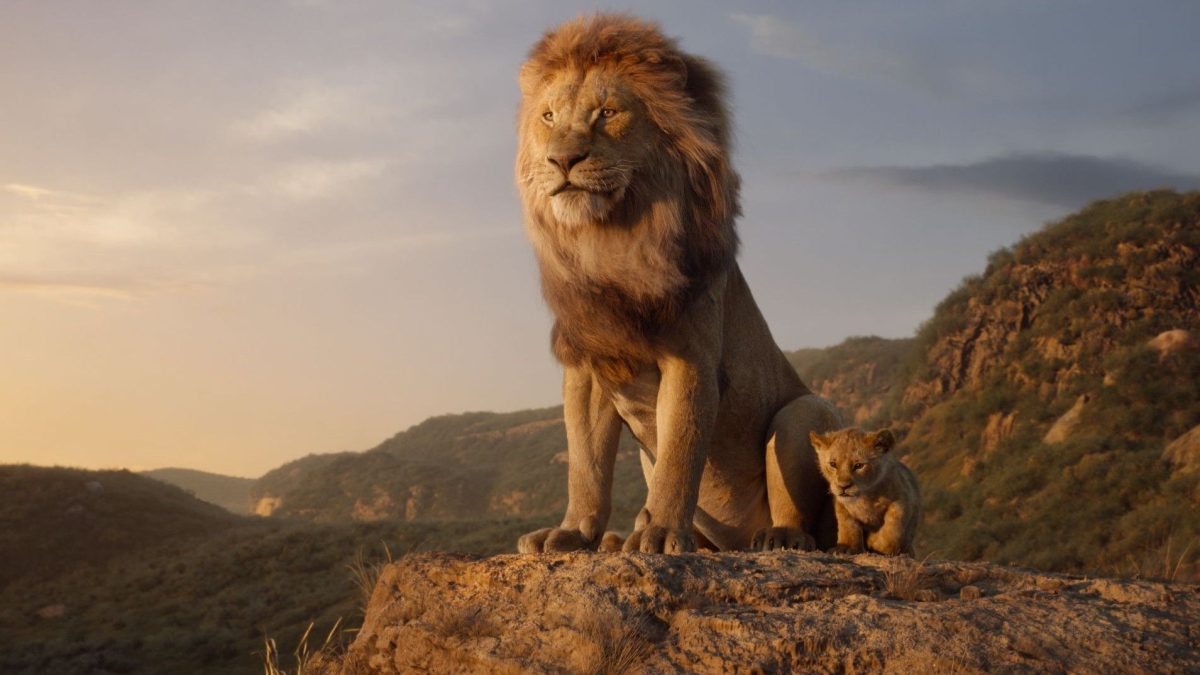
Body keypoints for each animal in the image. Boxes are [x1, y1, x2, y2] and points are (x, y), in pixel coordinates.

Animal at [514, 14, 843, 554]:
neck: (611, 241)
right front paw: (573, 532)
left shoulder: (691, 358)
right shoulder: (589, 365)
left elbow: (680, 453)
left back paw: (778, 537)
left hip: (804, 412)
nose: (562, 160)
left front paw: (662, 532)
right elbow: (586, 464)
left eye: (607, 113)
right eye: (548, 117)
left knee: (803, 517)